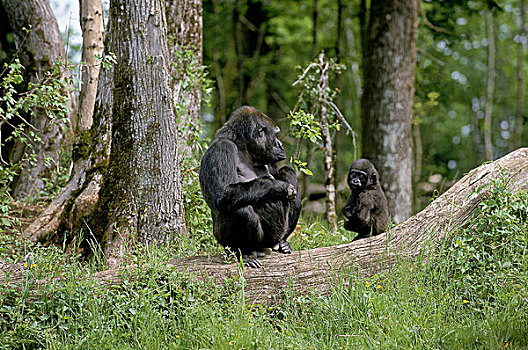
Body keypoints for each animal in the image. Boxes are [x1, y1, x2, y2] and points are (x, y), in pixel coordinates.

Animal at [199, 106, 302, 268]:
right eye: (276, 134)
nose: (281, 145)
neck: (245, 149)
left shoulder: (269, 158)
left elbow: (283, 172)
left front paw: (288, 177)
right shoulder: (222, 149)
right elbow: (225, 193)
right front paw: (279, 186)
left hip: (271, 241)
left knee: (296, 202)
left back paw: (282, 242)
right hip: (224, 241)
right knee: (241, 211)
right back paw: (244, 252)